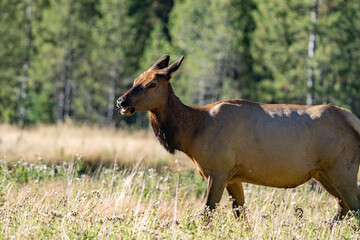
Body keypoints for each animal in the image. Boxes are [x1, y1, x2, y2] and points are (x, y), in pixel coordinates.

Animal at [117, 54, 360, 221]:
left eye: (152, 84)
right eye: (135, 80)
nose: (121, 101)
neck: (193, 134)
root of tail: (353, 118)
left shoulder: (218, 170)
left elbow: (207, 213)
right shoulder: (234, 177)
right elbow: (240, 215)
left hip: (341, 169)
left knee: (354, 206)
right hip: (323, 173)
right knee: (344, 206)